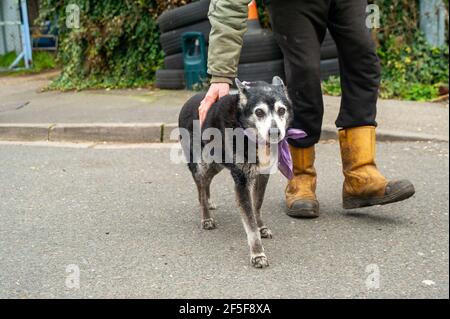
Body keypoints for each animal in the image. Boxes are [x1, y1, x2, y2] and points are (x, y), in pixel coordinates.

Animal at [178, 77, 294, 268]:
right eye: (259, 112)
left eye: (282, 110)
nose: (275, 133)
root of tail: (188, 101)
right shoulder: (241, 182)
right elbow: (250, 223)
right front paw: (257, 254)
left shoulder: (263, 175)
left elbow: (257, 204)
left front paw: (261, 227)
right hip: (202, 163)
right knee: (201, 185)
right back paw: (206, 216)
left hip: (216, 164)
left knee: (206, 182)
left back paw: (208, 202)